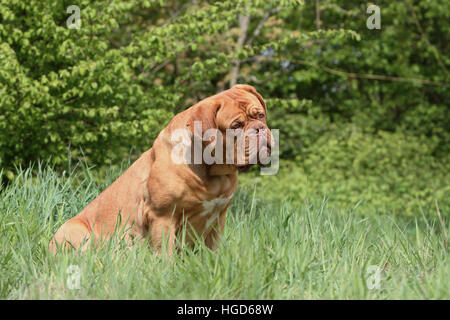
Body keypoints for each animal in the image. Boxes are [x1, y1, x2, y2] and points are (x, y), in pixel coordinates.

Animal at [51, 84, 272, 254]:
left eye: (261, 115)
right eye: (236, 126)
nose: (259, 129)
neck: (213, 173)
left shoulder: (218, 219)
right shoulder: (163, 217)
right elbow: (165, 254)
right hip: (73, 229)